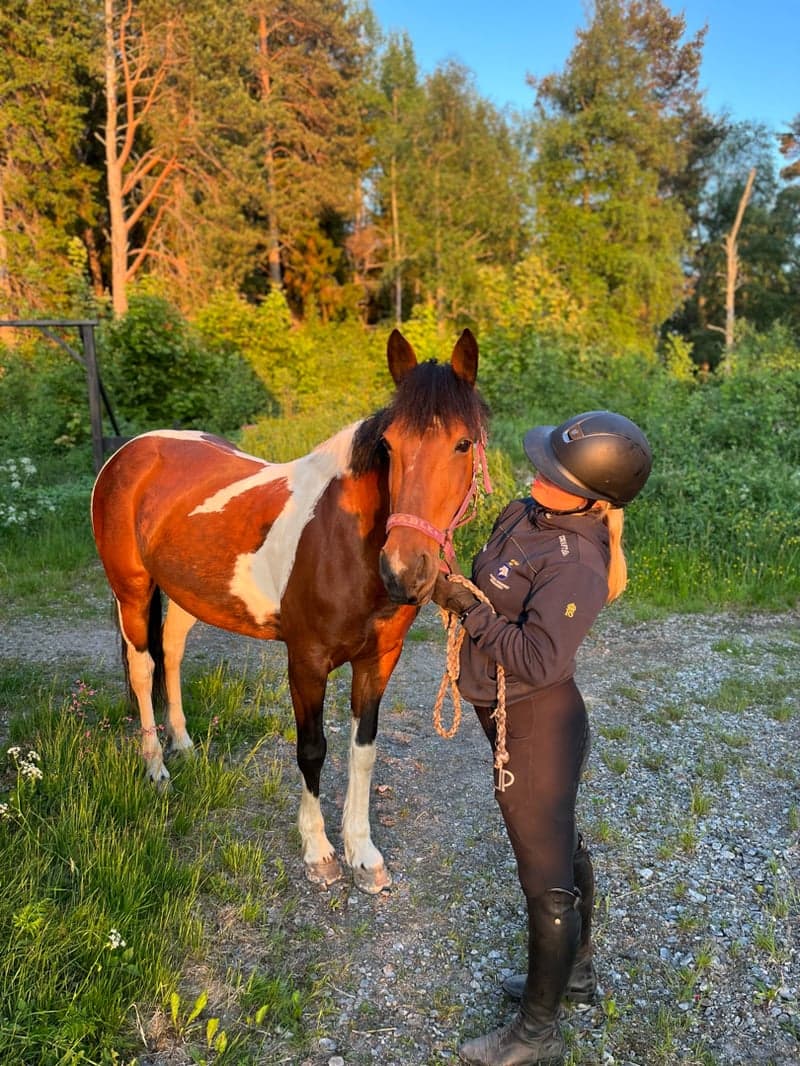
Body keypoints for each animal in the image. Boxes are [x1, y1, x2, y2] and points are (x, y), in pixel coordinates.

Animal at [90, 328, 492, 895]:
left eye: (463, 443)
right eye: (389, 447)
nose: (404, 571)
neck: (344, 540)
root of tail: (132, 450)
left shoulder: (379, 660)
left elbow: (363, 749)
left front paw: (363, 855)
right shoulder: (306, 661)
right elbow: (312, 749)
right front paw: (319, 852)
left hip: (188, 596)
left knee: (170, 653)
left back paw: (184, 744)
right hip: (132, 590)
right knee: (144, 667)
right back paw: (155, 768)